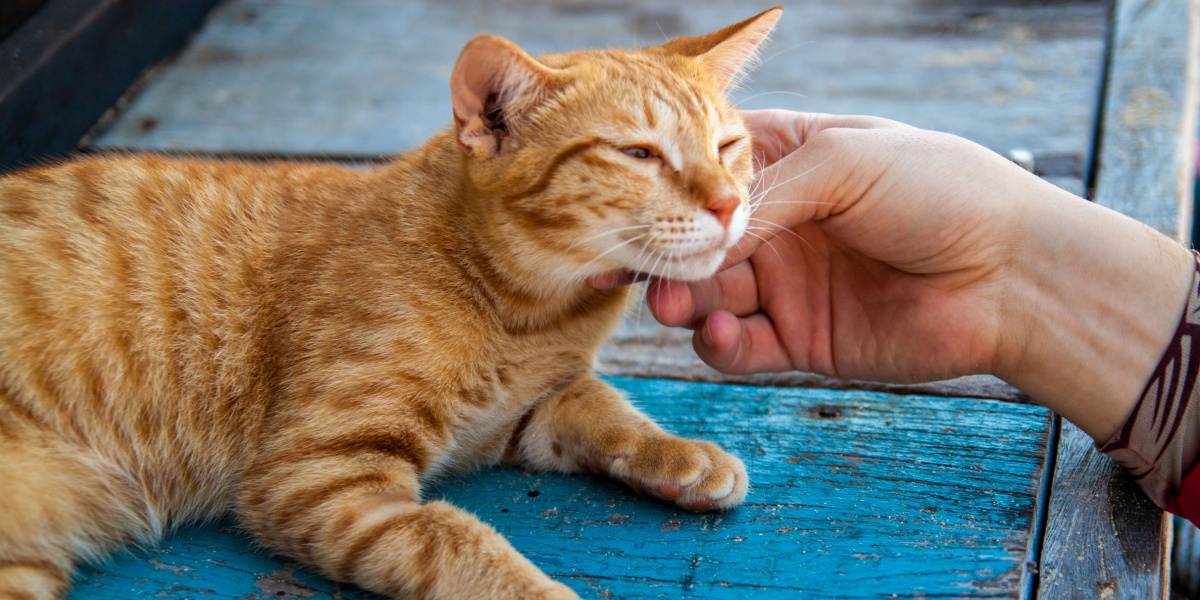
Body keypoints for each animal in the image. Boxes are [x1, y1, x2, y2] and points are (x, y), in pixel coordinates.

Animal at [0, 5, 782, 600]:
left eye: (727, 145)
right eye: (638, 155)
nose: (728, 202)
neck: (526, 314)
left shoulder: (516, 419)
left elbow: (603, 408)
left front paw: (683, 454)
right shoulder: (319, 476)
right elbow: (454, 539)